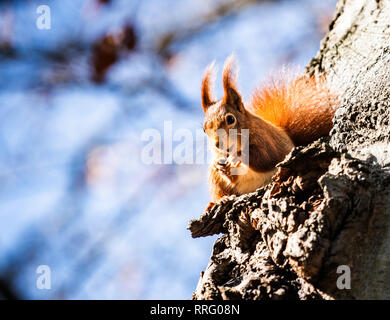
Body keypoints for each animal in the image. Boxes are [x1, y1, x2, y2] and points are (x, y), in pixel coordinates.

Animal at [203, 56, 336, 209]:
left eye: (230, 119)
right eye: (204, 129)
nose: (217, 144)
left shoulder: (267, 140)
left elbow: (265, 158)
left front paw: (236, 157)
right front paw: (221, 166)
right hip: (214, 179)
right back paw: (221, 199)